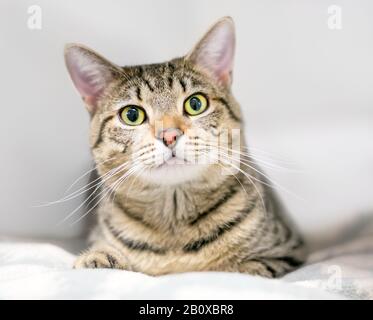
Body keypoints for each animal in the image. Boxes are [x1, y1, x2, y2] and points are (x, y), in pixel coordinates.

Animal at [64, 17, 306, 278]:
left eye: (195, 104)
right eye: (132, 115)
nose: (169, 135)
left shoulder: (287, 252)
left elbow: (249, 268)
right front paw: (98, 258)